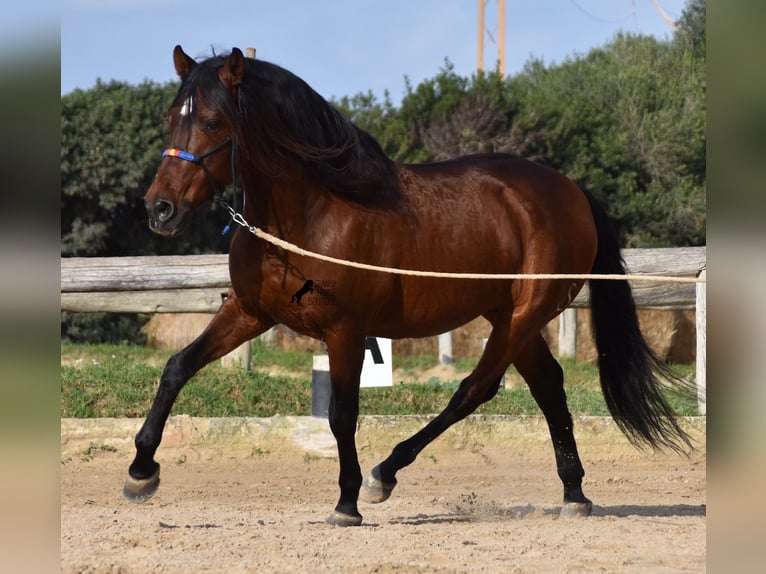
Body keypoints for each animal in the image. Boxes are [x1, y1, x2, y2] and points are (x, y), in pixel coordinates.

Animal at [123, 47, 692, 528]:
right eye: (172, 117)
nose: (159, 209)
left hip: (526, 313)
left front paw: (347, 502)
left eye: (213, 121)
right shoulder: (248, 312)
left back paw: (385, 474)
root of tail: (569, 189)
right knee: (548, 385)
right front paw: (141, 472)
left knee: (476, 388)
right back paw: (574, 494)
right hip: (510, 315)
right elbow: (177, 367)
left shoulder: (345, 330)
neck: (308, 214)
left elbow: (342, 414)